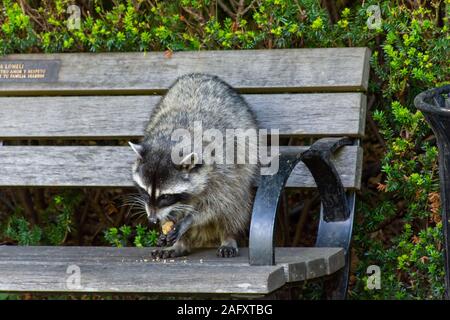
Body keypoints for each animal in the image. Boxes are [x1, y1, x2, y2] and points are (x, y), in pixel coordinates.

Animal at [128, 72, 258, 258]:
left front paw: (189, 220)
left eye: (165, 196)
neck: (169, 142)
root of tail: (201, 74)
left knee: (234, 204)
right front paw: (170, 222)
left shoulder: (222, 170)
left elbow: (217, 203)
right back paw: (180, 244)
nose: (153, 220)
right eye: (144, 192)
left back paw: (228, 235)